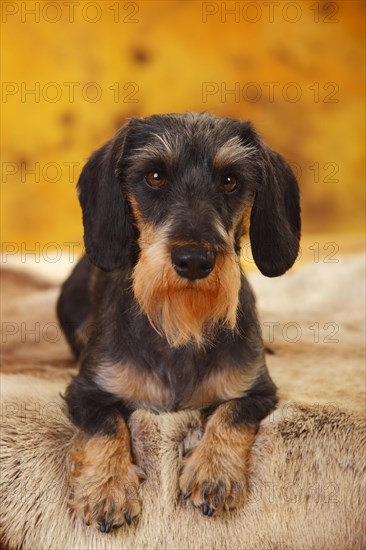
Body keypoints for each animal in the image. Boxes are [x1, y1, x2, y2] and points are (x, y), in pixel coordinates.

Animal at [58, 112, 300, 536]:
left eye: (230, 180)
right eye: (154, 176)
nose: (194, 260)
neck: (180, 325)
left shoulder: (258, 392)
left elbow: (231, 415)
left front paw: (215, 473)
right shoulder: (85, 390)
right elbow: (106, 425)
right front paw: (106, 488)